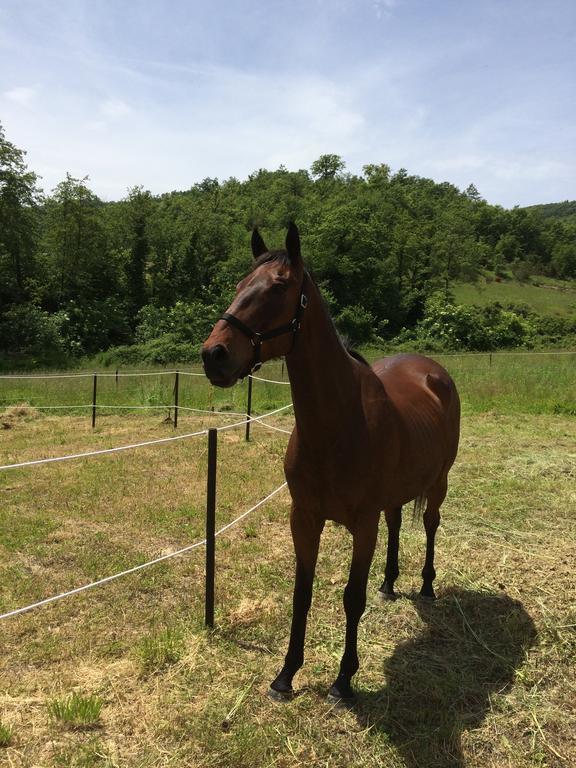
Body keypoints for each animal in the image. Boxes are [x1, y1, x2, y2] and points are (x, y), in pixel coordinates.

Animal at [200, 222, 462, 704]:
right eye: (239, 285)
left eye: (279, 287)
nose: (215, 355)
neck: (338, 425)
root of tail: (433, 370)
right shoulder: (304, 518)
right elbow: (301, 594)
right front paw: (286, 675)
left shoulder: (362, 525)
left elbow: (351, 598)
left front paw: (344, 680)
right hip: (395, 499)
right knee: (398, 522)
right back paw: (389, 583)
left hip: (439, 483)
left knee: (431, 524)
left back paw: (426, 585)